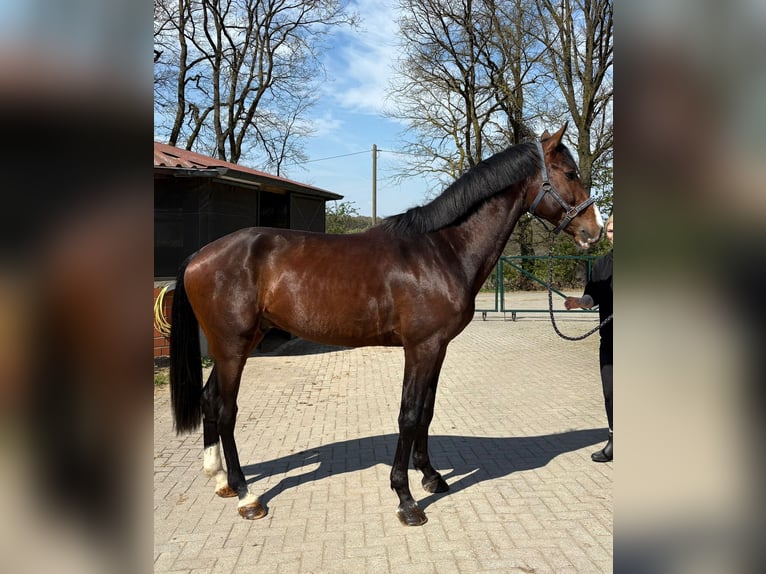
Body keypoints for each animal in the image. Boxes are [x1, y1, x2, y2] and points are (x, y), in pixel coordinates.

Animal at [169, 124, 604, 526]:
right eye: (570, 173)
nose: (595, 231)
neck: (442, 250)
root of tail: (200, 255)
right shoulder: (421, 347)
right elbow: (408, 414)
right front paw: (406, 499)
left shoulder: (438, 348)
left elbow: (426, 411)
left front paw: (431, 477)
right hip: (232, 346)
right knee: (225, 409)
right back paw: (247, 496)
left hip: (237, 344)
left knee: (209, 400)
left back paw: (220, 479)